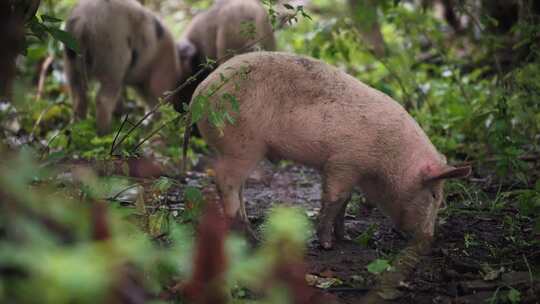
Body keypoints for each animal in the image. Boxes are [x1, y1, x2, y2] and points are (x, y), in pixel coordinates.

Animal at [64, 0, 184, 134]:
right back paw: (105, 133)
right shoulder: (161, 76)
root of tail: (83, 22)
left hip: (71, 65)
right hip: (114, 61)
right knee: (103, 100)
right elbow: (160, 102)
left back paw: (76, 131)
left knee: (79, 98)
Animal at [192, 51, 470, 249]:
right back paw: (251, 240)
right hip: (241, 145)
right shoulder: (342, 162)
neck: (387, 159)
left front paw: (346, 239)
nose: (429, 238)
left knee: (237, 187)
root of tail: (201, 92)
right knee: (225, 181)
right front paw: (327, 245)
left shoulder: (349, 168)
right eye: (434, 195)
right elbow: (334, 198)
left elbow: (344, 202)